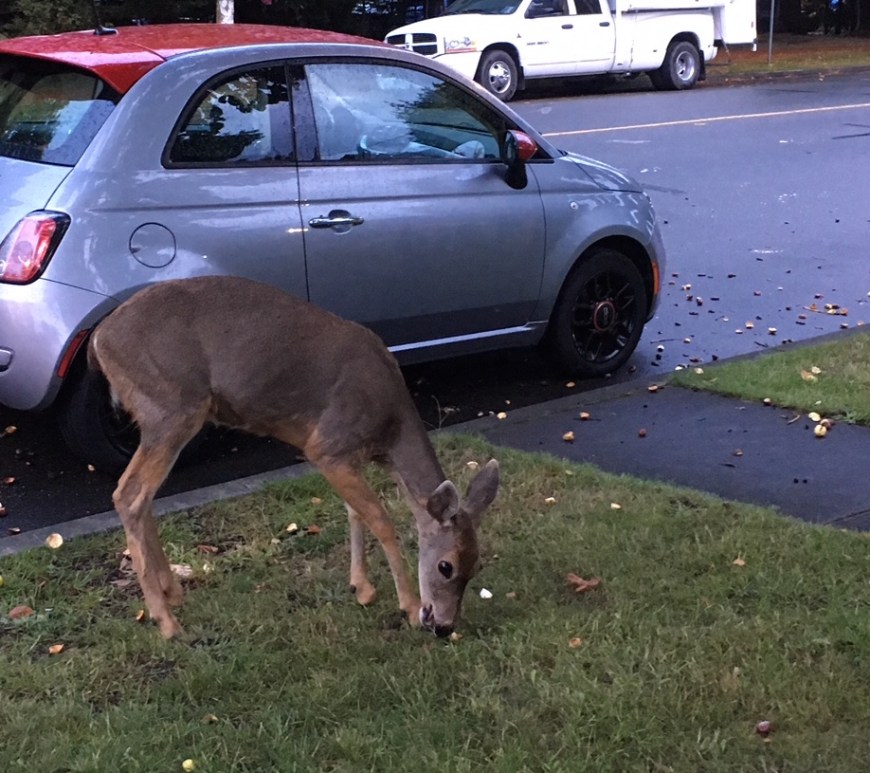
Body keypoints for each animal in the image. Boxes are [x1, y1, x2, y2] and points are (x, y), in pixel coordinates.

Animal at [88, 275, 499, 640]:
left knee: (144, 496)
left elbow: (354, 512)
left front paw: (362, 588)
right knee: (129, 493)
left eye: (477, 565)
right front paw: (409, 607)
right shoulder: (328, 444)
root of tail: (98, 340)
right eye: (446, 566)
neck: (390, 429)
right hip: (170, 406)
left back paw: (172, 593)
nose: (443, 625)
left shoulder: (351, 457)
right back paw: (167, 622)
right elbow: (380, 518)